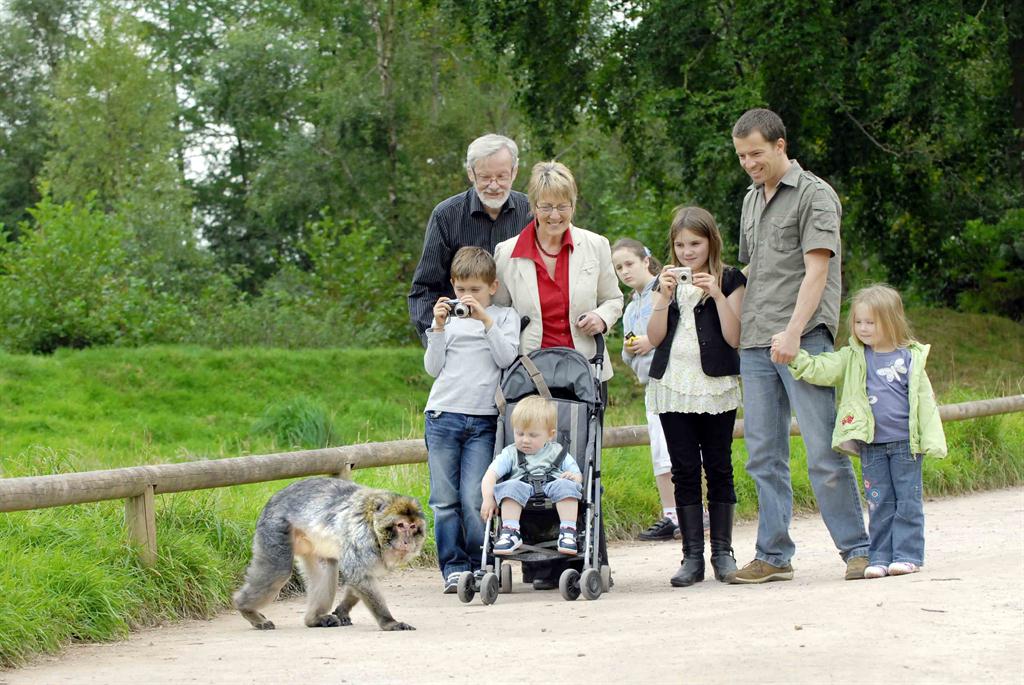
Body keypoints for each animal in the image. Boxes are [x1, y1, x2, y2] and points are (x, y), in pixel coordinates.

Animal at [232, 475, 423, 630]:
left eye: (412, 526)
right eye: (400, 525)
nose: (407, 541)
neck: (373, 526)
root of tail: (271, 500)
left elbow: (362, 576)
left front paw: (343, 609)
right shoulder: (361, 538)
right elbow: (358, 574)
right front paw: (389, 622)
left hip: (308, 541)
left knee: (327, 566)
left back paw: (314, 619)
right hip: (275, 527)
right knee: (278, 570)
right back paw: (246, 609)